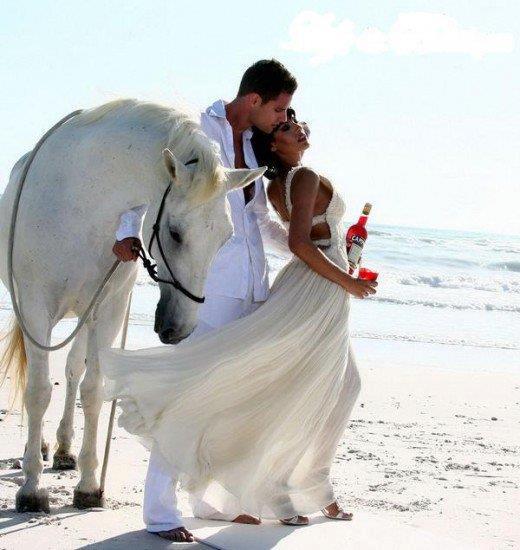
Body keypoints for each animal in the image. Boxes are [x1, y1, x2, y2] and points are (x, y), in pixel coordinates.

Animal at [0, 98, 264, 512]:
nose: (180, 329)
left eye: (226, 236)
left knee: (73, 371)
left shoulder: (107, 310)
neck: (80, 202)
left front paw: (88, 485)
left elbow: (93, 390)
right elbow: (38, 390)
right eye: (174, 233)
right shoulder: (34, 307)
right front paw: (31, 489)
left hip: (86, 316)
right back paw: (38, 448)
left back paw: (62, 448)